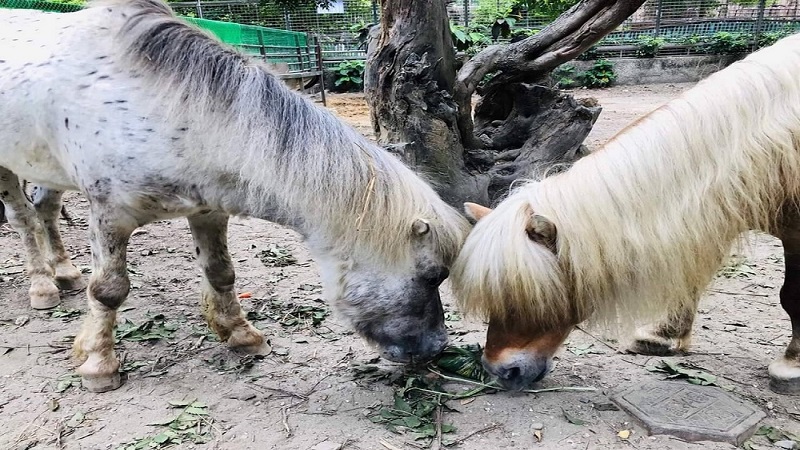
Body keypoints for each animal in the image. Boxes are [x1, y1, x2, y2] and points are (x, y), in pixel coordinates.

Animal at [0, 0, 470, 392]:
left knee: (45, 211)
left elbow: (221, 273)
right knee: (23, 218)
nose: (436, 349)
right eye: (433, 275)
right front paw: (99, 364)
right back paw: (42, 287)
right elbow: (109, 291)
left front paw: (242, 335)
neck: (168, 109)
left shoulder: (207, 212)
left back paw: (64, 273)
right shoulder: (109, 215)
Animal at [451, 32, 800, 394]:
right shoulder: (712, 213)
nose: (499, 371)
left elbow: (792, 296)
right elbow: (688, 276)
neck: (762, 141)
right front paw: (662, 337)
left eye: (530, 299)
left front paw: (790, 366)